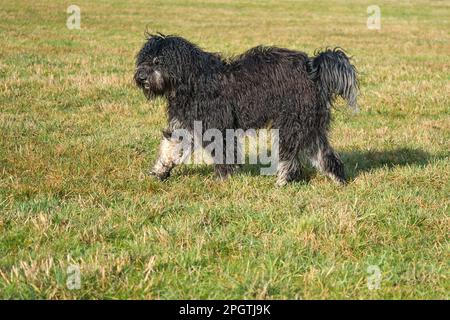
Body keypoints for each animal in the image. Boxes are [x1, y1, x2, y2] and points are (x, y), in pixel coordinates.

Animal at [134, 33, 358, 185]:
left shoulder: (217, 126)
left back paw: (282, 181)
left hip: (292, 122)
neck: (193, 81)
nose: (141, 77)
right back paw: (338, 179)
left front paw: (223, 180)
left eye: (158, 61)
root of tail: (313, 68)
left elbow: (223, 154)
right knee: (323, 152)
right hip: (309, 125)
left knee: (290, 156)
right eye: (144, 59)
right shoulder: (185, 124)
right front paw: (158, 173)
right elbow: (170, 149)